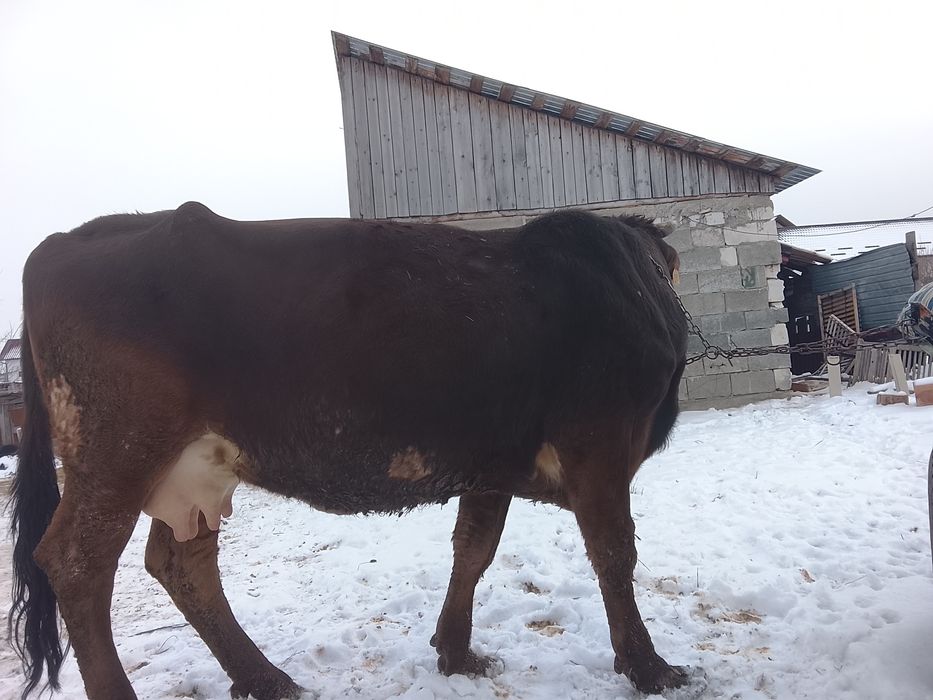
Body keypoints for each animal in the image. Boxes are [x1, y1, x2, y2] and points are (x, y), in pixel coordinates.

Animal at [9, 203, 688, 699]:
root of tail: (65, 240)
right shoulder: (601, 442)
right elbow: (613, 553)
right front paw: (650, 667)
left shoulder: (492, 464)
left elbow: (473, 550)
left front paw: (455, 651)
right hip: (118, 449)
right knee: (76, 562)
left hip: (193, 467)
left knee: (182, 562)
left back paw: (265, 679)